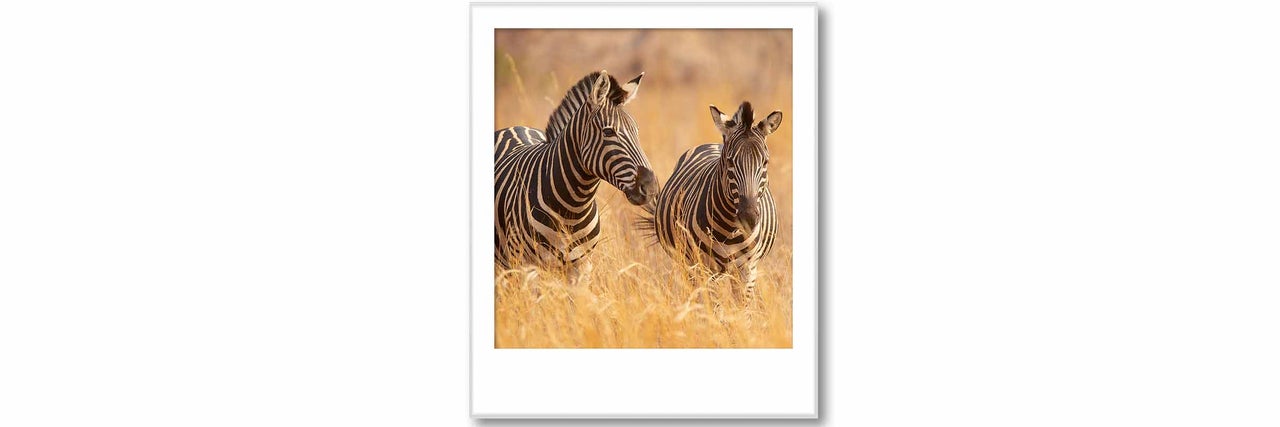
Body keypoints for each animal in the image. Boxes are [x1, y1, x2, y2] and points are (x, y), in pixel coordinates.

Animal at [494, 70, 659, 279]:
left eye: (637, 131)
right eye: (608, 132)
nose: (651, 187)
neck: (572, 208)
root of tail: (515, 127)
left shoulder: (581, 268)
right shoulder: (525, 267)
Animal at [641, 101, 783, 300]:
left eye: (765, 163)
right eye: (730, 162)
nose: (749, 217)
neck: (731, 230)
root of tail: (714, 144)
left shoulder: (748, 269)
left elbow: (742, 307)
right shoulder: (704, 267)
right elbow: (713, 305)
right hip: (688, 263)